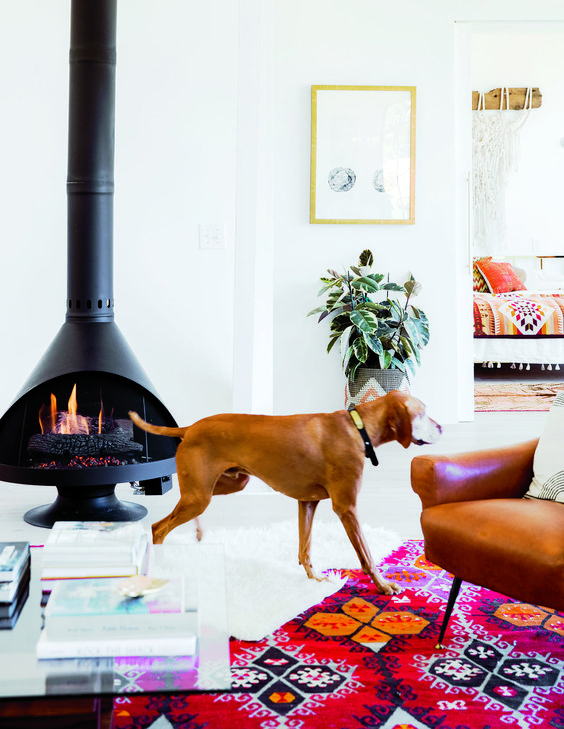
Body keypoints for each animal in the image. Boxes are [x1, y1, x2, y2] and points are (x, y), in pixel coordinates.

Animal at [130, 396, 442, 596]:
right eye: (423, 413)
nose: (441, 427)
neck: (357, 427)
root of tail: (190, 427)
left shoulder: (308, 502)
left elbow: (305, 548)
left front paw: (314, 579)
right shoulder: (346, 507)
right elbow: (366, 554)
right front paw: (383, 585)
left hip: (220, 486)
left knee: (177, 515)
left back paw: (197, 534)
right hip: (200, 495)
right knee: (158, 528)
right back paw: (161, 565)